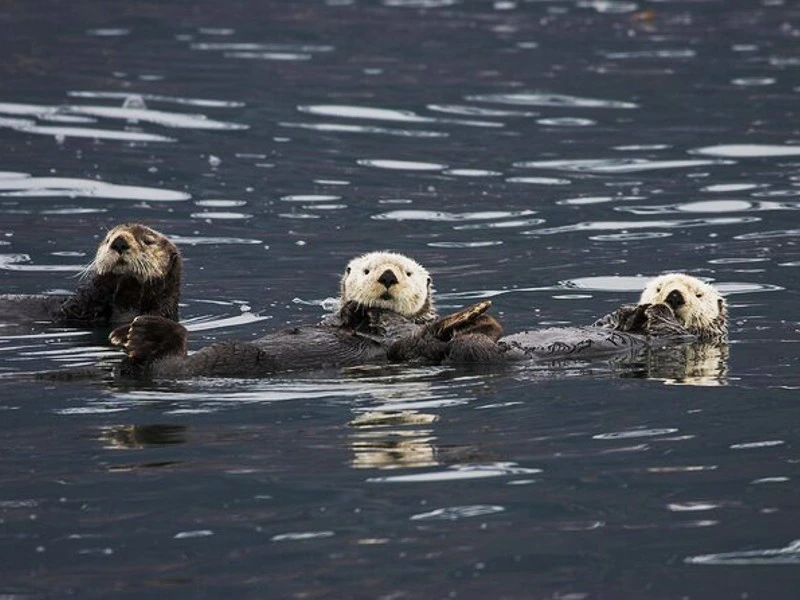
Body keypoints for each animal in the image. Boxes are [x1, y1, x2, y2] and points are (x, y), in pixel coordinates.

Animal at [110, 251, 492, 378]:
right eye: (367, 270)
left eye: (408, 273)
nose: (387, 276)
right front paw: (353, 309)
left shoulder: (401, 330)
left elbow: (396, 337)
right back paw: (132, 335)